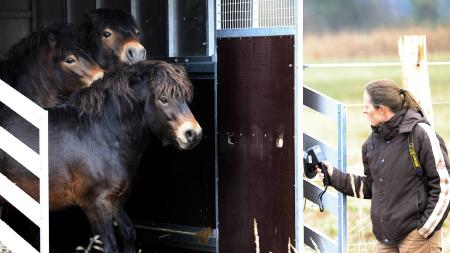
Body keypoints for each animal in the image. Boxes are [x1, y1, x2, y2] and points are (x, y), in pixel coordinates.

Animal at [0, 60, 201, 252]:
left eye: (185, 98)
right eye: (163, 99)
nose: (193, 134)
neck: (102, 132)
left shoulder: (114, 199)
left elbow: (129, 233)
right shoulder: (96, 204)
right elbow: (109, 245)